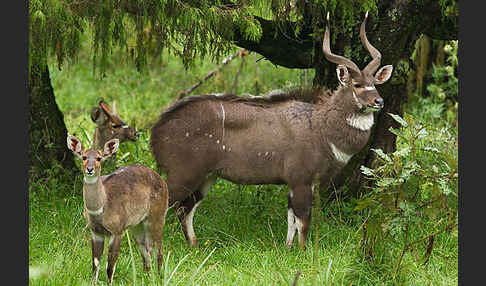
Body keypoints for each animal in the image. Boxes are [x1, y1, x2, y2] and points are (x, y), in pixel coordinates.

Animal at [66, 135, 168, 284]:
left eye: (99, 158)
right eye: (84, 157)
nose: (89, 169)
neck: (101, 207)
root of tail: (163, 181)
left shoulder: (117, 230)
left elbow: (110, 266)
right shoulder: (95, 232)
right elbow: (95, 264)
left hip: (157, 218)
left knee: (158, 251)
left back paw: (160, 278)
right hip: (137, 226)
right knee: (146, 251)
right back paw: (147, 278)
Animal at [150, 12, 392, 249]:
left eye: (375, 83)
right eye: (357, 85)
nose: (379, 101)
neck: (322, 127)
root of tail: (157, 129)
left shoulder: (296, 183)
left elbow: (291, 220)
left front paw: (287, 249)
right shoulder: (301, 179)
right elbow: (303, 220)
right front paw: (303, 252)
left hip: (206, 178)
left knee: (184, 209)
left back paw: (195, 247)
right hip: (184, 174)